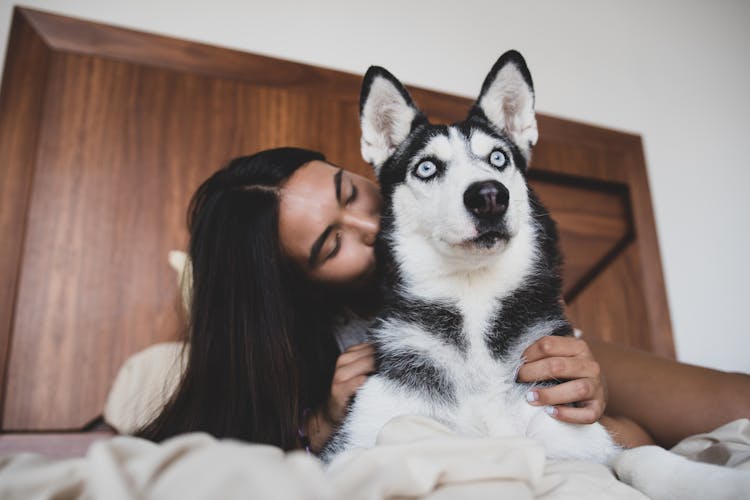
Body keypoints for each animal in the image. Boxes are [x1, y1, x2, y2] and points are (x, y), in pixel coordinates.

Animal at [326, 51, 620, 464]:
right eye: (427, 167)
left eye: (497, 158)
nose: (489, 196)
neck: (473, 294)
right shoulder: (364, 437)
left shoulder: (569, 433)